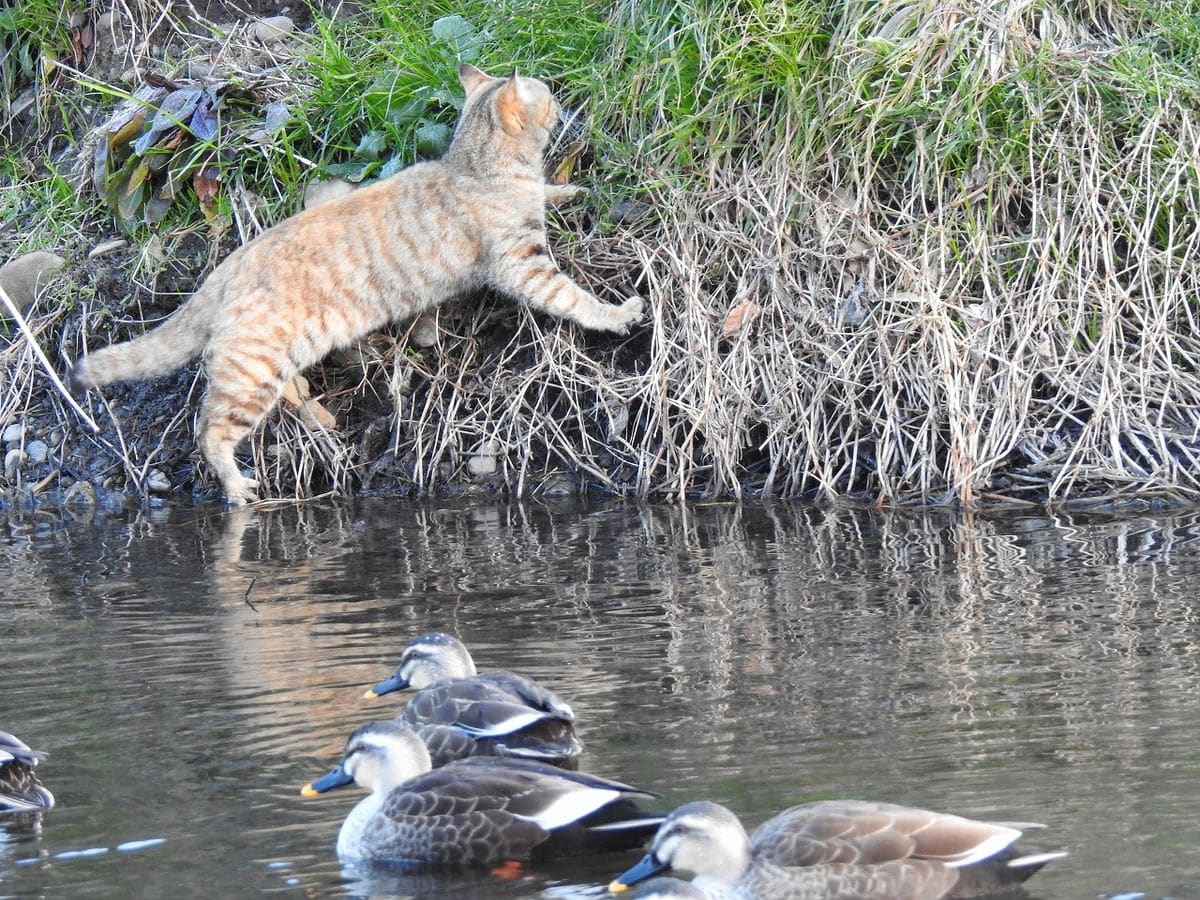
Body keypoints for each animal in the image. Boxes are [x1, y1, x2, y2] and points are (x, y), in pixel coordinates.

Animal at [70, 65, 643, 508]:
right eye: (546, 95)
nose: (564, 98)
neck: (479, 165)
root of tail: (228, 264)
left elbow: (551, 194)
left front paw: (568, 190)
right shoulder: (523, 265)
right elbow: (574, 299)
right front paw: (618, 314)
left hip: (279, 357)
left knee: (277, 396)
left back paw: (316, 413)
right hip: (250, 371)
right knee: (209, 429)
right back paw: (237, 488)